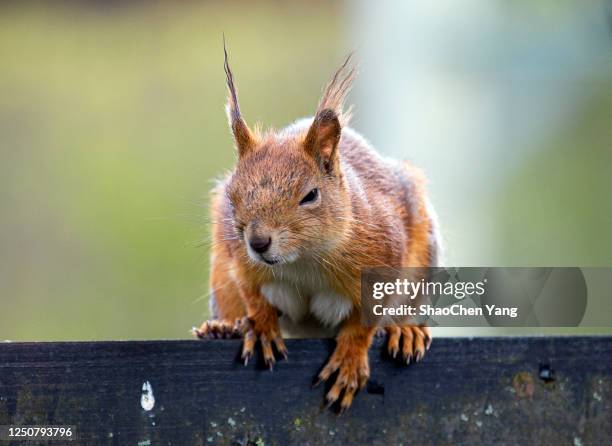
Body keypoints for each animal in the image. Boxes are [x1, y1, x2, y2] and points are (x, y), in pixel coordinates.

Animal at [196, 45, 440, 412]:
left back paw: (405, 331)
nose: (258, 242)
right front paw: (261, 326)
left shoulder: (384, 258)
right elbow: (253, 294)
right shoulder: (240, 261)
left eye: (310, 195)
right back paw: (224, 329)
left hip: (423, 264)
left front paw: (350, 361)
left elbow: (364, 320)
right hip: (221, 280)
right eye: (232, 194)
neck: (304, 259)